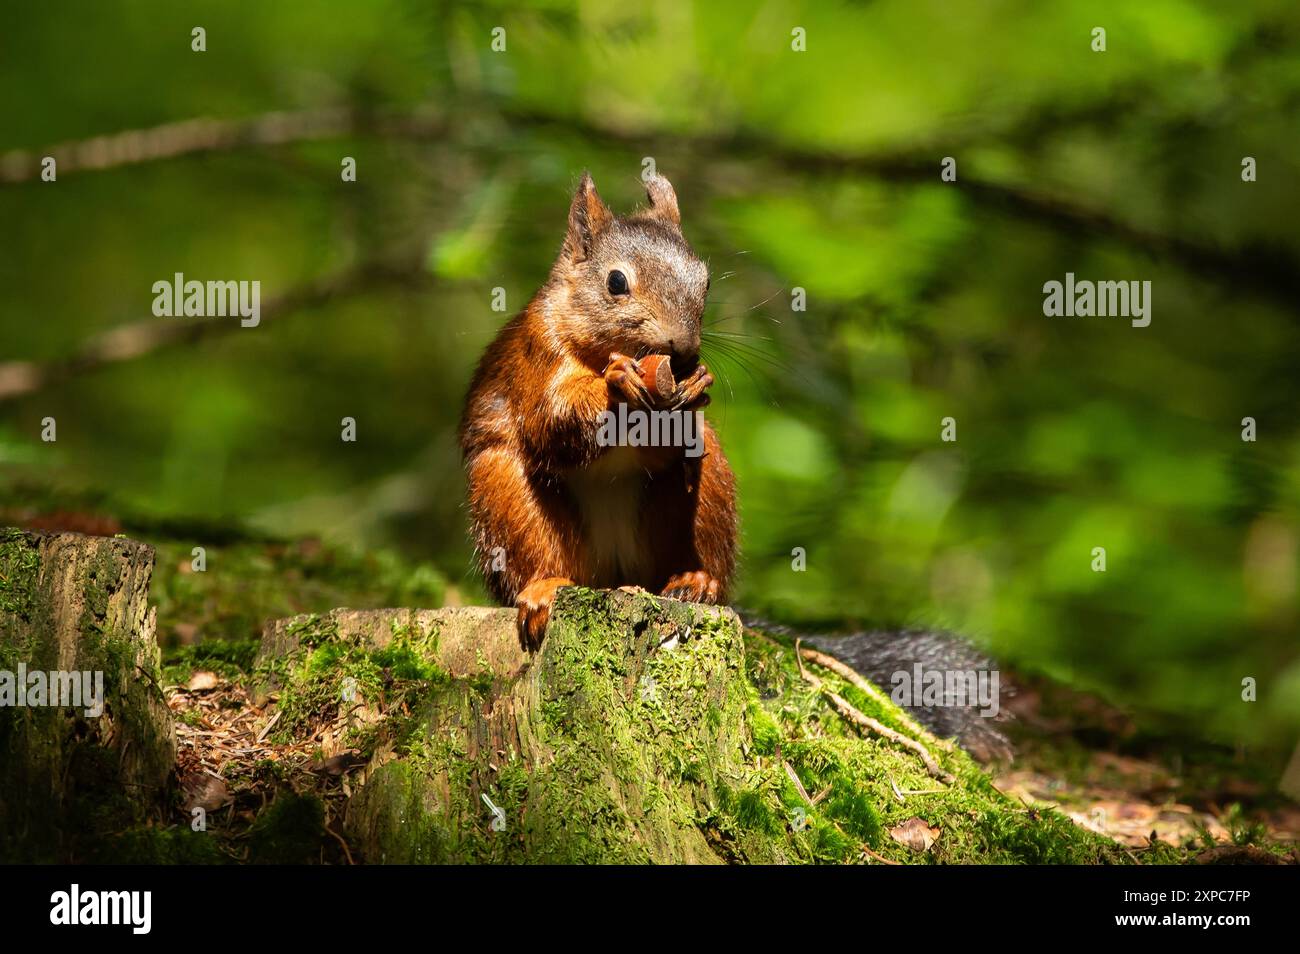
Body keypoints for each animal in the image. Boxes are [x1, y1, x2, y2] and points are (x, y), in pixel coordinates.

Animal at [459, 171, 737, 648]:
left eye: (705, 282)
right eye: (616, 283)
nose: (684, 351)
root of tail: (614, 578)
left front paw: (697, 385)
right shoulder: (539, 353)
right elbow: (552, 419)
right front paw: (617, 383)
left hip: (702, 493)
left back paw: (696, 581)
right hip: (502, 494)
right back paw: (544, 590)